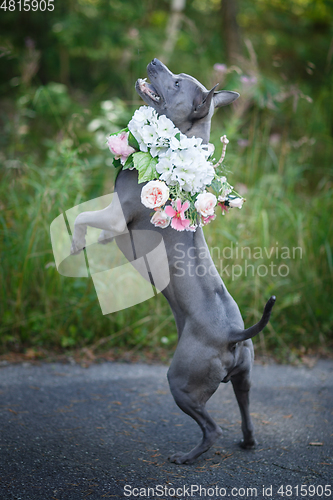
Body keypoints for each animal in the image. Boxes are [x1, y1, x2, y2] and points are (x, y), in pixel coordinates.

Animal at [70, 58, 274, 464]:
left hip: (181, 381)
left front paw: (77, 243)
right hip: (244, 377)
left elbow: (81, 217)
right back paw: (246, 442)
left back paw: (188, 456)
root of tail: (234, 335)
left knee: (212, 427)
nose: (154, 62)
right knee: (245, 412)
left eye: (177, 82)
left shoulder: (116, 215)